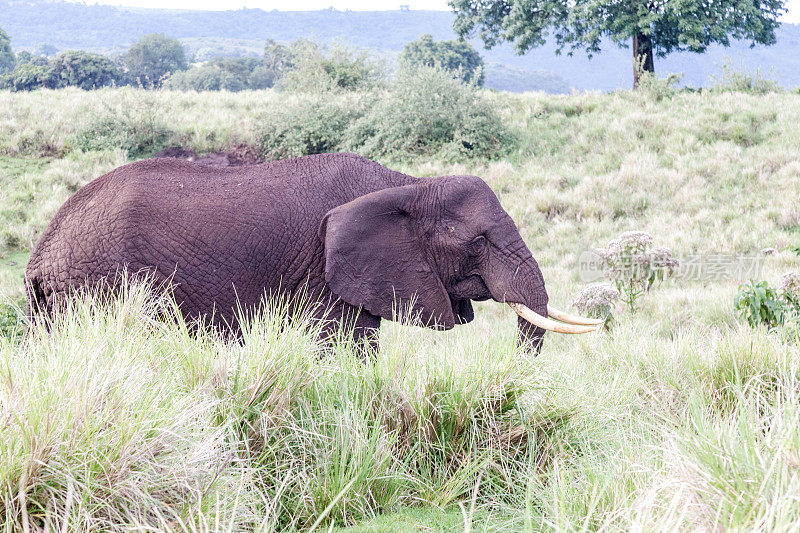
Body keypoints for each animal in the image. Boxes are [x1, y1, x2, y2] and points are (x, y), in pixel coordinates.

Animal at [26, 152, 600, 352]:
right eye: (478, 241)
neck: (409, 184)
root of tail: (42, 252)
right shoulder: (327, 272)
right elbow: (343, 347)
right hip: (97, 284)